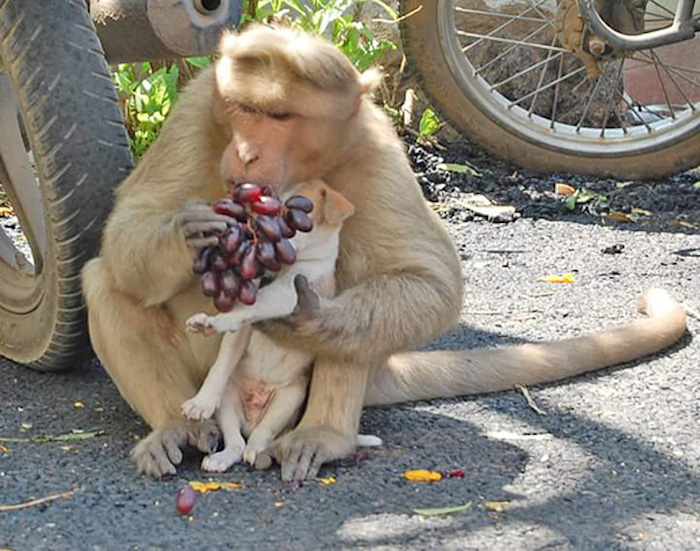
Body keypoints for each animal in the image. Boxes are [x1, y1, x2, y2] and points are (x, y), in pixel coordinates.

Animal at [81, 23, 687, 481]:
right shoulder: (196, 111)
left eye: (278, 116)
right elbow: (128, 224)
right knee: (106, 279)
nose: (246, 153)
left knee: (362, 304)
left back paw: (319, 434)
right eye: (241, 108)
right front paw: (194, 231)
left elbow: (426, 280)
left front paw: (304, 319)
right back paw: (176, 428)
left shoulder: (373, 147)